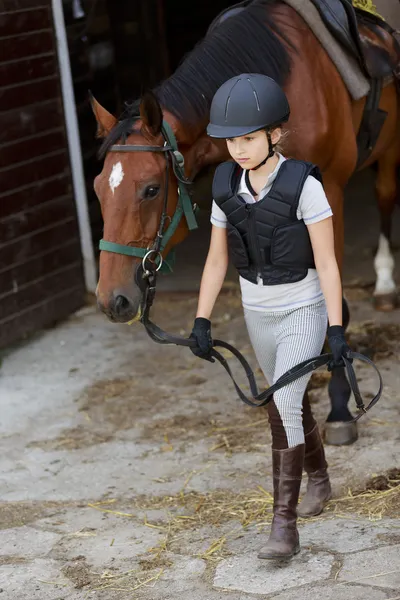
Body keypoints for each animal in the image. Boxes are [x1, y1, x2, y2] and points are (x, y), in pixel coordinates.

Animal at [91, 0, 400, 446]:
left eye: (150, 189)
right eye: (98, 188)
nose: (110, 300)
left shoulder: (330, 193)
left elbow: (334, 303)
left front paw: (340, 408)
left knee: (386, 196)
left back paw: (386, 284)